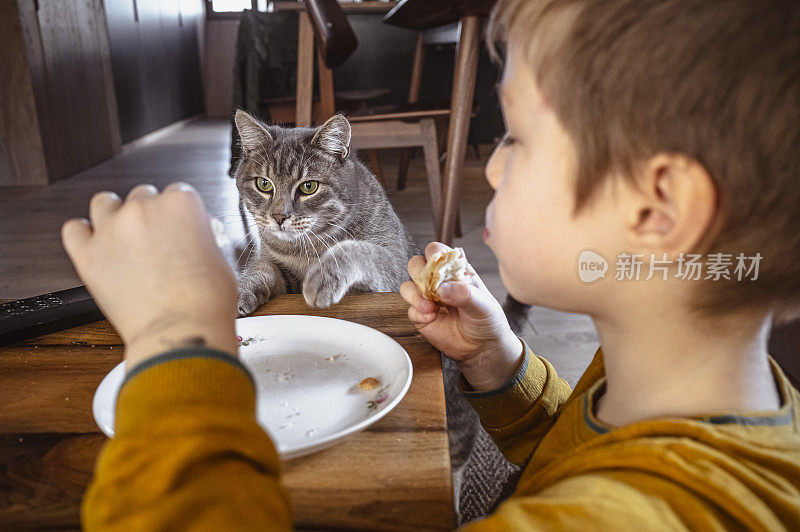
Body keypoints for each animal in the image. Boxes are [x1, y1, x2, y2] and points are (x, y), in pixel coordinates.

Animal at [233, 109, 416, 314]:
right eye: (263, 184)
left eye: (309, 186)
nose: (279, 216)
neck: (305, 248)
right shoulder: (278, 269)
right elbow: (261, 267)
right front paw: (242, 289)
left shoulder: (397, 266)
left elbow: (358, 250)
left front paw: (324, 275)